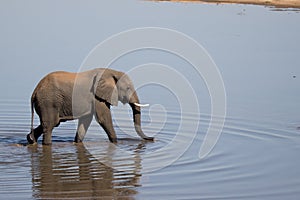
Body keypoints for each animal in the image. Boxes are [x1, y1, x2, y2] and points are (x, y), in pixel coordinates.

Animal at [26, 68, 154, 145]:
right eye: (127, 88)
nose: (152, 138)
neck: (111, 72)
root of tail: (34, 92)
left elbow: (85, 120)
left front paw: (77, 142)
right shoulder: (96, 96)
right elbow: (103, 118)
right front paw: (115, 142)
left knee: (51, 123)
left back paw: (30, 139)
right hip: (48, 102)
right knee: (50, 124)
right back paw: (46, 144)